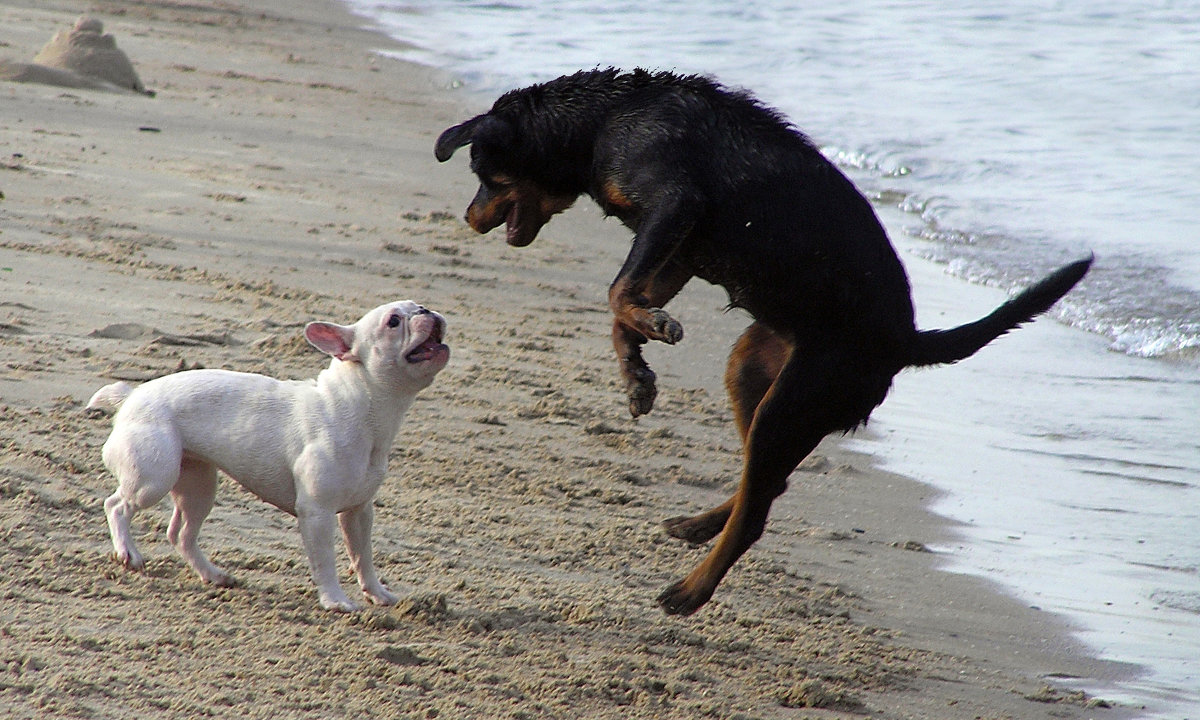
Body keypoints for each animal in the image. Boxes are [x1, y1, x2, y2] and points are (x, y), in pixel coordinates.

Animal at [85, 301, 451, 609]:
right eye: (393, 321)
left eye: (417, 305)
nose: (426, 310)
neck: (362, 405)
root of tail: (131, 395)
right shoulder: (317, 512)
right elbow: (326, 561)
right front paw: (335, 601)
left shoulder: (359, 512)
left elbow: (364, 557)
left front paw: (377, 593)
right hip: (153, 477)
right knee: (117, 505)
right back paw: (128, 552)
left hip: (197, 484)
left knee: (181, 533)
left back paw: (213, 574)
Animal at [436, 70, 1094, 614]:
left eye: (485, 177)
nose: (467, 216)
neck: (603, 121)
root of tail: (905, 343)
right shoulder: (677, 250)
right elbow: (622, 303)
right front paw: (637, 373)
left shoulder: (674, 205)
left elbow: (619, 290)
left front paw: (652, 334)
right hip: (754, 371)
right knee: (765, 481)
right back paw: (701, 525)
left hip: (795, 400)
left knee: (757, 507)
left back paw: (690, 590)